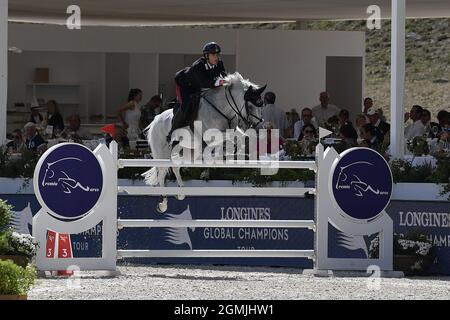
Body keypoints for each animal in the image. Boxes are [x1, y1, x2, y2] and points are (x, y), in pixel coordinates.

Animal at [142, 72, 266, 212]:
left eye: (261, 106)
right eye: (250, 106)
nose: (259, 127)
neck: (223, 109)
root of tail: (156, 119)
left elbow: (241, 136)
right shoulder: (211, 135)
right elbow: (228, 135)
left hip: (189, 152)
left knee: (175, 166)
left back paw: (181, 193)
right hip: (162, 151)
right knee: (162, 172)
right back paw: (163, 203)